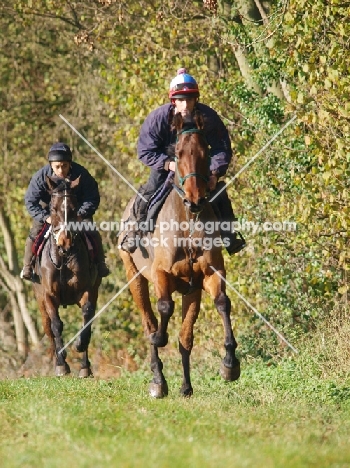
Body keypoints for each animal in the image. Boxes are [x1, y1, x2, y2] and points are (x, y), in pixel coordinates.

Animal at [32, 176, 101, 376]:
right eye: (53, 209)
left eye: (73, 209)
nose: (65, 242)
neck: (63, 257)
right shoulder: (49, 295)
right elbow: (56, 325)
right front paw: (62, 363)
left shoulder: (87, 291)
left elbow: (87, 320)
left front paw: (80, 351)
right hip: (40, 301)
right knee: (49, 329)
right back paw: (59, 362)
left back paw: (84, 367)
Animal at [119, 111, 239, 396]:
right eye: (178, 153)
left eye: (205, 150)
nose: (195, 199)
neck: (187, 222)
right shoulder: (161, 274)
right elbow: (163, 309)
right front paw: (159, 342)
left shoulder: (210, 273)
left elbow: (222, 303)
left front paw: (230, 364)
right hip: (134, 277)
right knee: (148, 322)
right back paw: (158, 381)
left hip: (191, 290)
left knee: (186, 338)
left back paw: (186, 386)